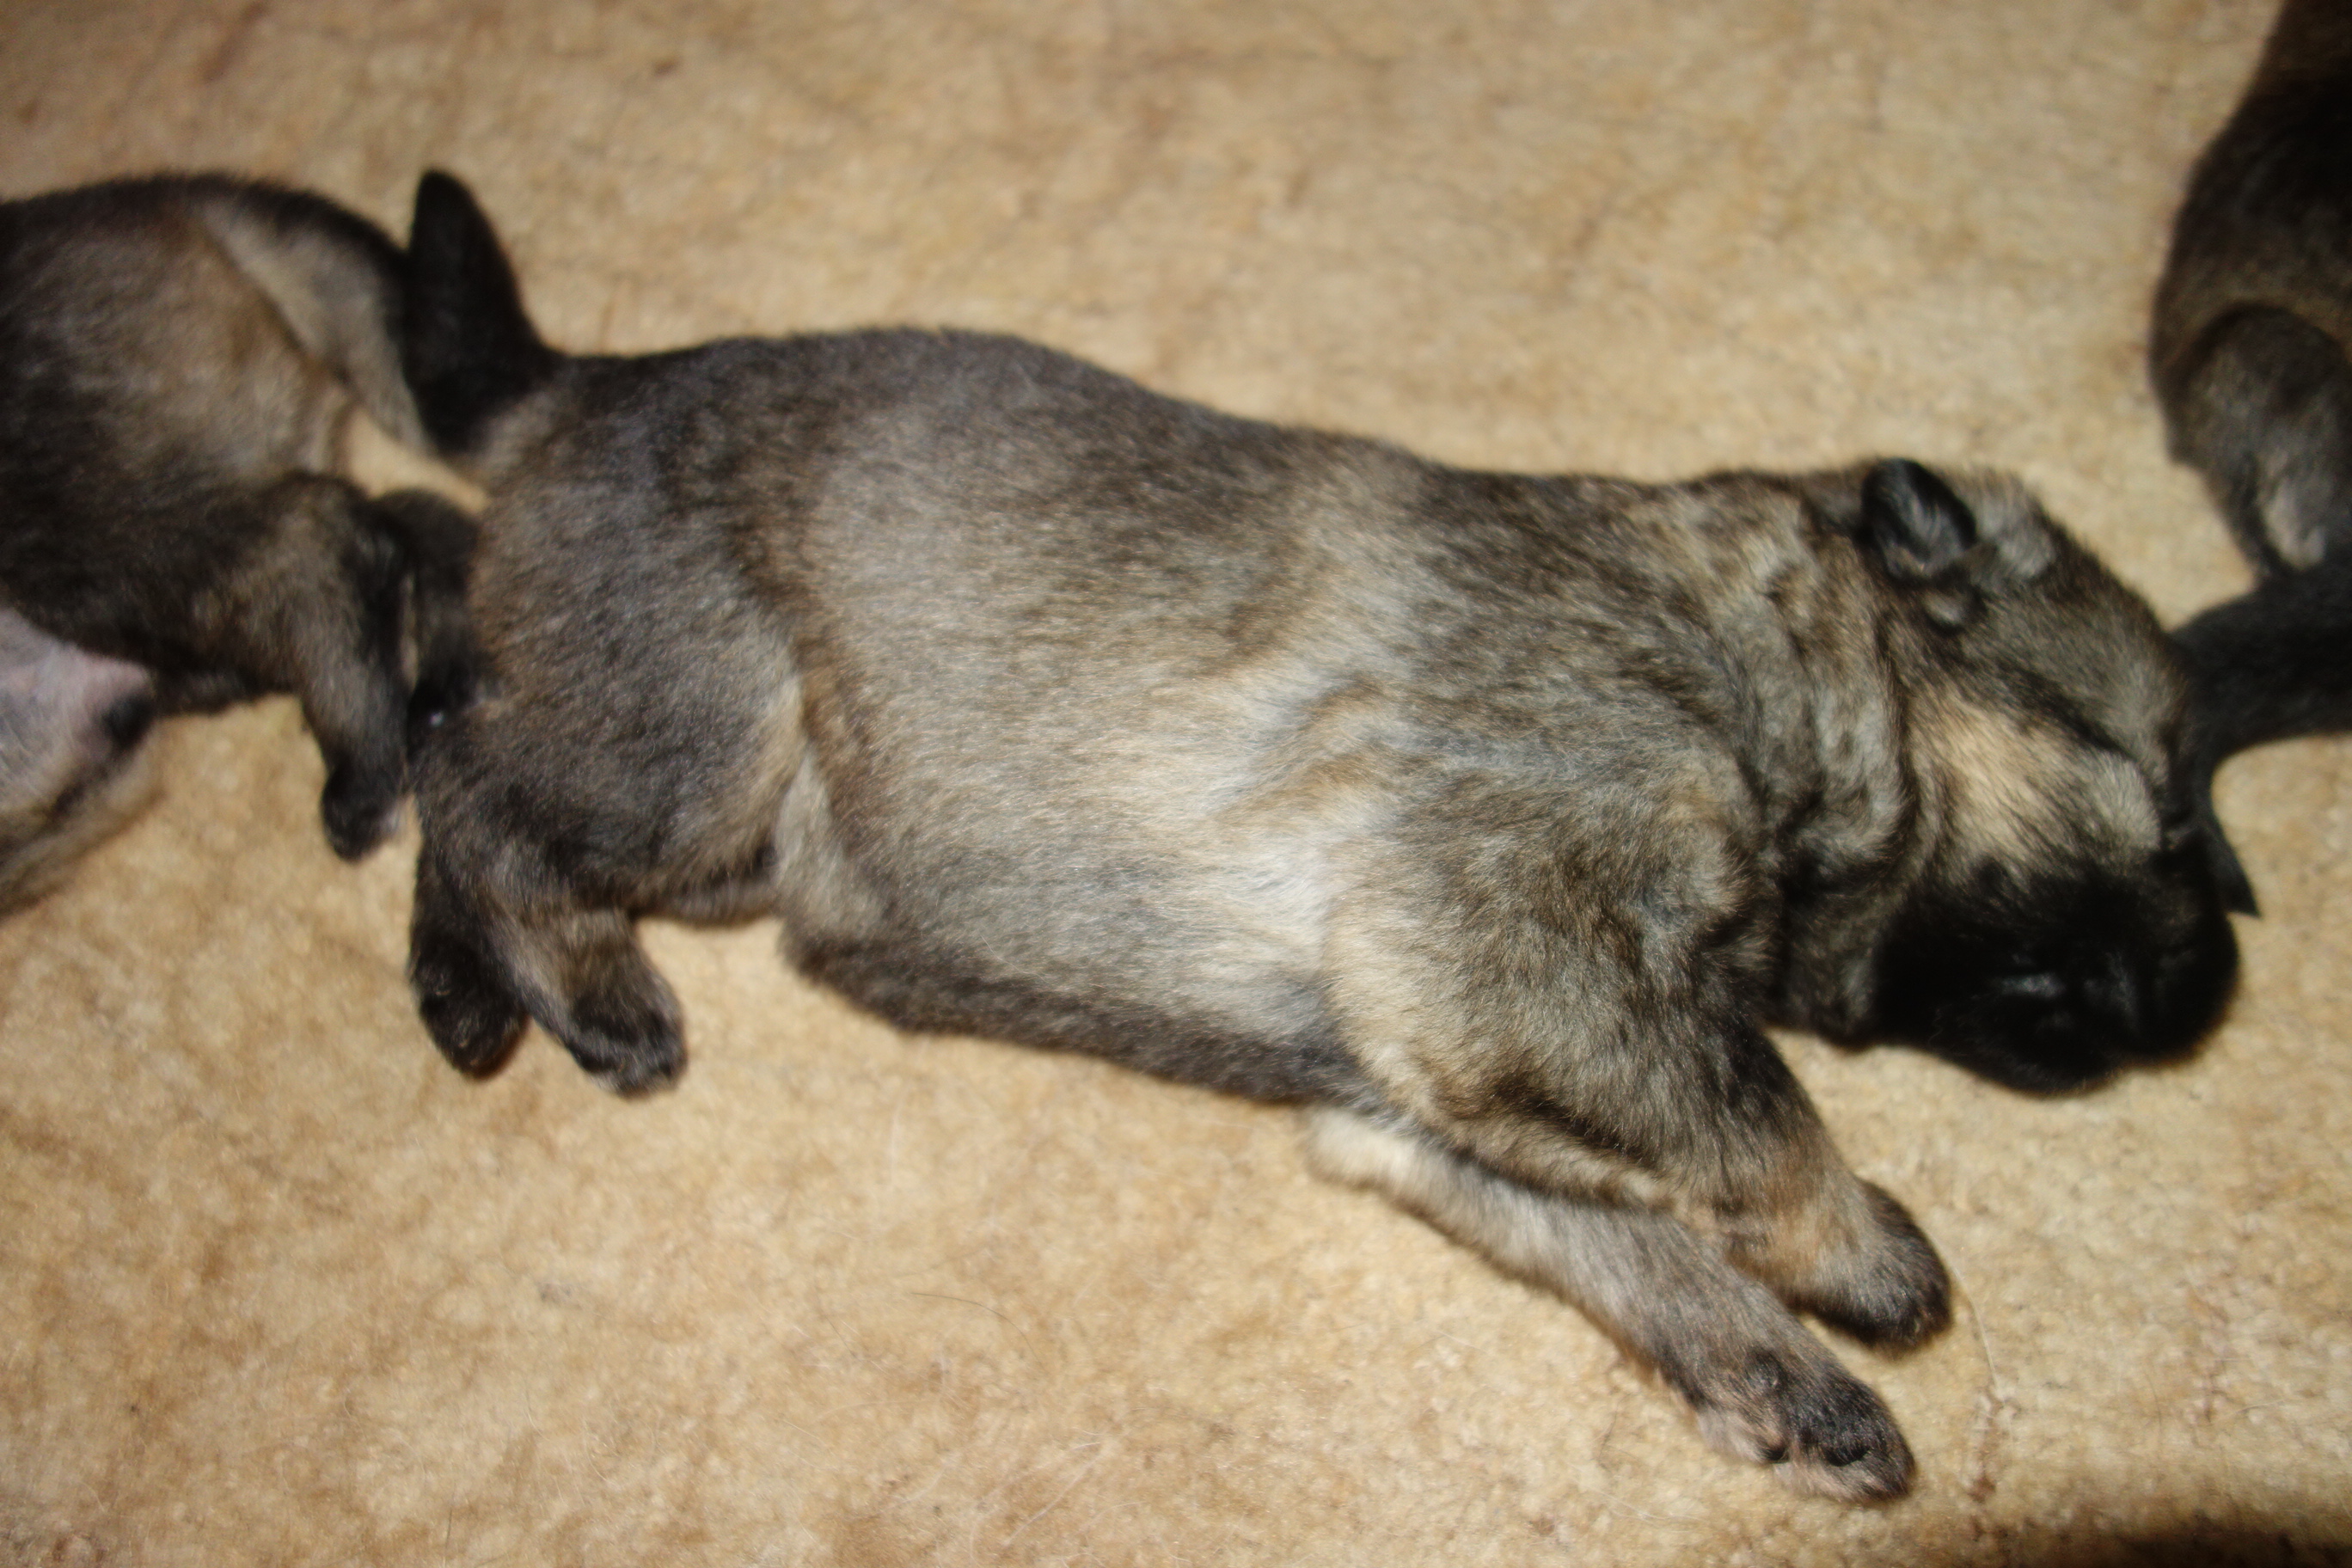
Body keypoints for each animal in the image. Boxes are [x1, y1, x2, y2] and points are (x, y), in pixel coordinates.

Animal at [398, 171, 2241, 1500]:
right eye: (2166, 802)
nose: (2221, 983)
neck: (1760, 662)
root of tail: (576, 389)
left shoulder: (1431, 1095)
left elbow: (1640, 1229)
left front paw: (1781, 1375)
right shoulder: (1512, 940)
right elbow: (1749, 1106)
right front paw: (1863, 1248)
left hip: (699, 805)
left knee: (458, 747)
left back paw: (469, 992)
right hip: (697, 739)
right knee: (477, 786)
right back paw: (585, 985)